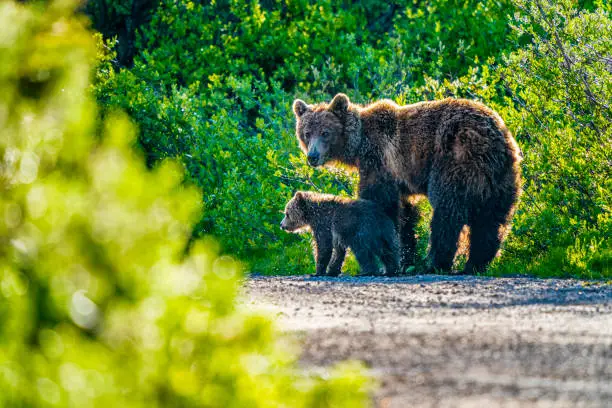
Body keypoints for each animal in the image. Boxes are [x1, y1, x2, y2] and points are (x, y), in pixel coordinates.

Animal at [292, 93, 520, 274]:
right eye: (306, 133)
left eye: (325, 132)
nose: (312, 156)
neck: (358, 146)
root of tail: (495, 138)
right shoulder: (400, 180)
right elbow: (406, 216)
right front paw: (406, 258)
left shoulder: (379, 161)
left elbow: (381, 205)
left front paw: (390, 261)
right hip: (500, 178)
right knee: (491, 220)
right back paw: (475, 265)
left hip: (455, 160)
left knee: (447, 211)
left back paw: (435, 263)